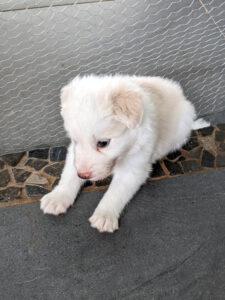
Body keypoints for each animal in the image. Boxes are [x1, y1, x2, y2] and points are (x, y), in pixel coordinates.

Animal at [40, 74, 209, 232]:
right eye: (75, 140)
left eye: (103, 143)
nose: (83, 175)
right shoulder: (74, 154)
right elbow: (69, 175)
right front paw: (57, 197)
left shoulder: (134, 167)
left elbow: (116, 192)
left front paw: (104, 215)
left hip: (180, 130)